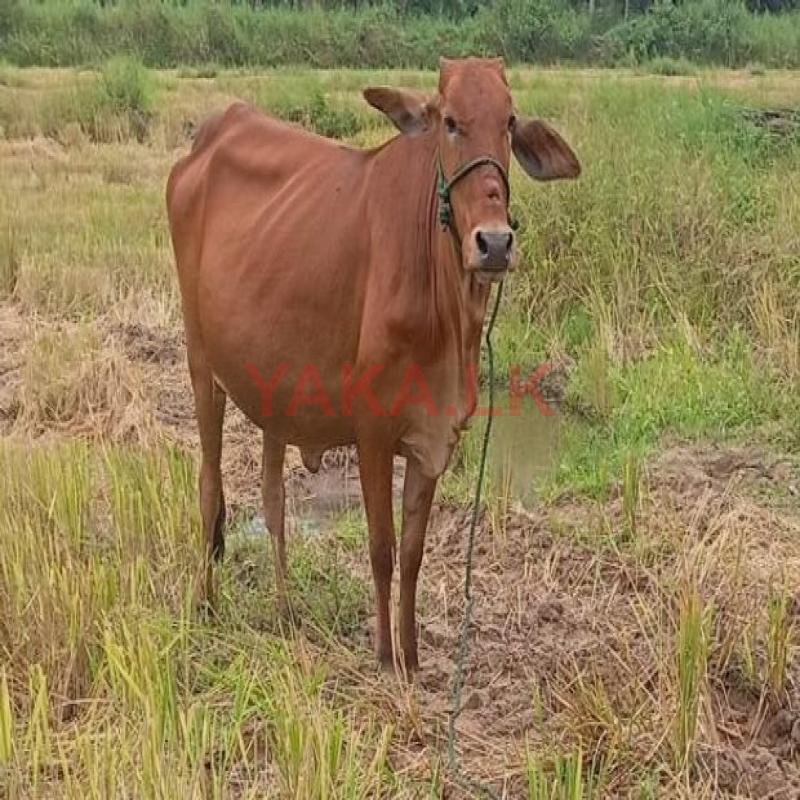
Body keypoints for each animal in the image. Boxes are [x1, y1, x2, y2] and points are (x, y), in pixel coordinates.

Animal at [166, 57, 579, 673]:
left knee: (273, 497)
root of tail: (210, 135)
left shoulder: (435, 434)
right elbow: (382, 548)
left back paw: (285, 611)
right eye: (449, 121)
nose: (494, 243)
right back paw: (206, 603)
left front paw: (411, 653)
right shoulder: (373, 431)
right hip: (200, 364)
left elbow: (412, 552)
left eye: (508, 123)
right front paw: (385, 656)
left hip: (269, 384)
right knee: (211, 488)